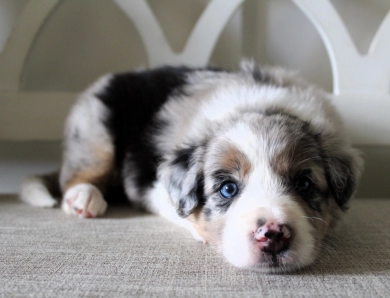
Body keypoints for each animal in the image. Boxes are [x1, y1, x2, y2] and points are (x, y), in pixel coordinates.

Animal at [21, 60, 362, 272]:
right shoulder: (154, 185)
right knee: (78, 174)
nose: (273, 234)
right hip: (94, 130)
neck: (259, 106)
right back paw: (84, 198)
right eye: (228, 189)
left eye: (304, 183)